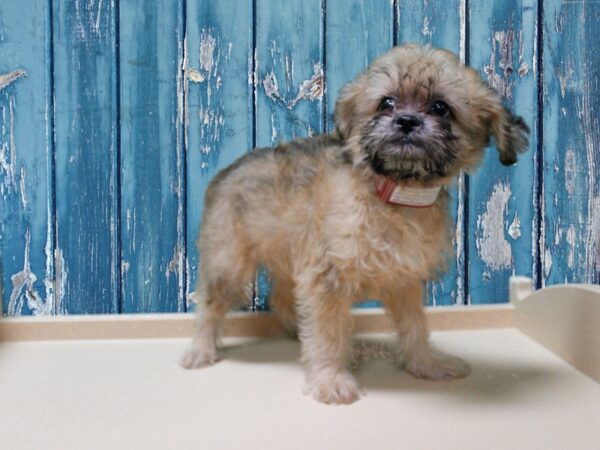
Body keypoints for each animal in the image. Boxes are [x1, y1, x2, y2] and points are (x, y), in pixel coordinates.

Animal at [180, 44, 528, 404]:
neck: (393, 193)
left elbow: (415, 326)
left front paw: (426, 363)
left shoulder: (403, 281)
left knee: (282, 301)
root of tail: (227, 171)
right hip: (229, 265)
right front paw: (330, 378)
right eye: (386, 103)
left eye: (441, 108)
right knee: (209, 306)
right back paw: (200, 350)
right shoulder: (326, 278)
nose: (406, 121)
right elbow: (329, 331)